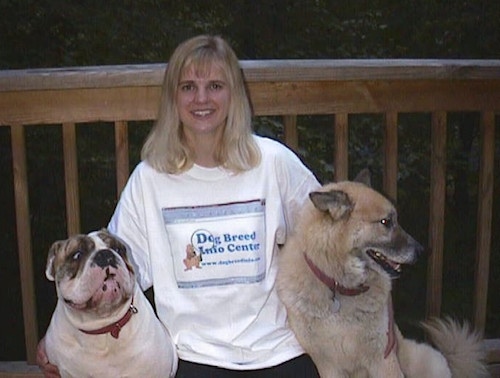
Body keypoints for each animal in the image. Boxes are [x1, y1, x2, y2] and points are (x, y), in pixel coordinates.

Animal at [276, 172, 486, 378]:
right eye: (386, 222)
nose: (422, 251)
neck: (340, 288)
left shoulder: (383, 358)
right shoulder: (328, 366)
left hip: (429, 361)